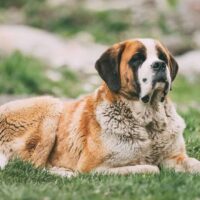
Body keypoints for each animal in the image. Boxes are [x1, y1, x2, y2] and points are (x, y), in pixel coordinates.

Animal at [0, 38, 200, 177]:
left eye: (162, 57)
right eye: (137, 59)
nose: (160, 65)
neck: (147, 119)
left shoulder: (175, 156)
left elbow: (194, 163)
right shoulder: (94, 168)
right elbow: (151, 168)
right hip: (52, 105)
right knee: (33, 165)